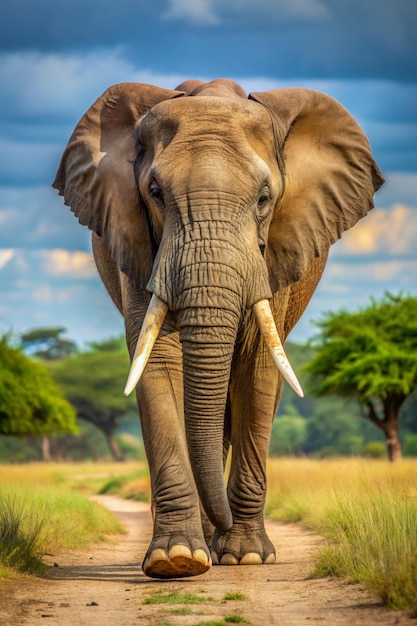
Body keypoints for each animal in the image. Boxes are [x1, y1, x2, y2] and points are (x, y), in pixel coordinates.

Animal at [52, 79, 384, 580]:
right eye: (154, 192)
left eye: (265, 198)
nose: (222, 526)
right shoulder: (140, 242)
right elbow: (158, 362)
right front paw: (176, 559)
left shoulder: (273, 252)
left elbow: (257, 369)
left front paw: (245, 556)